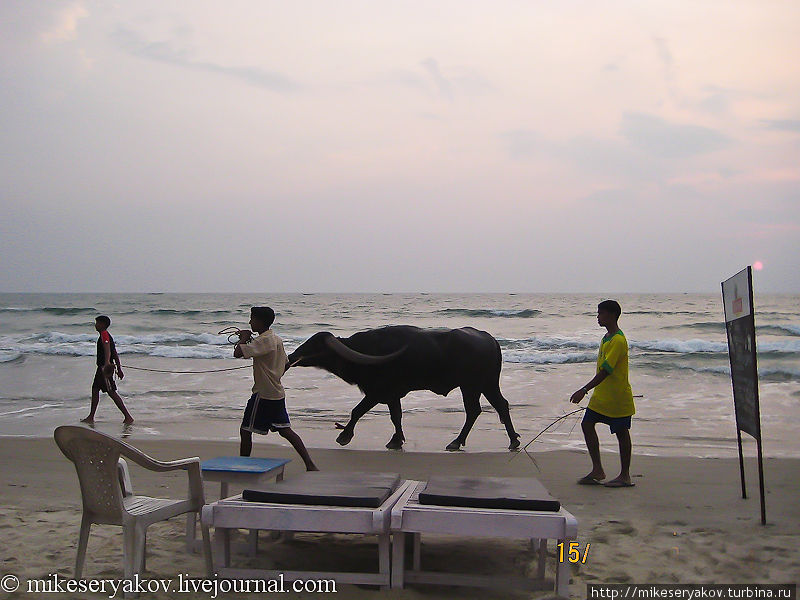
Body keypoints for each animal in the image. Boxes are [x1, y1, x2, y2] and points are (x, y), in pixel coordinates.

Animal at [286, 328, 520, 450]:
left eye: (316, 346)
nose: (291, 356)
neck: (366, 352)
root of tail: (489, 339)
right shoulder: (392, 396)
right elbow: (396, 416)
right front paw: (396, 440)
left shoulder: (378, 392)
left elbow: (357, 411)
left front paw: (345, 435)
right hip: (483, 385)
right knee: (493, 407)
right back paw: (509, 440)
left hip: (474, 385)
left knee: (479, 409)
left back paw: (460, 441)